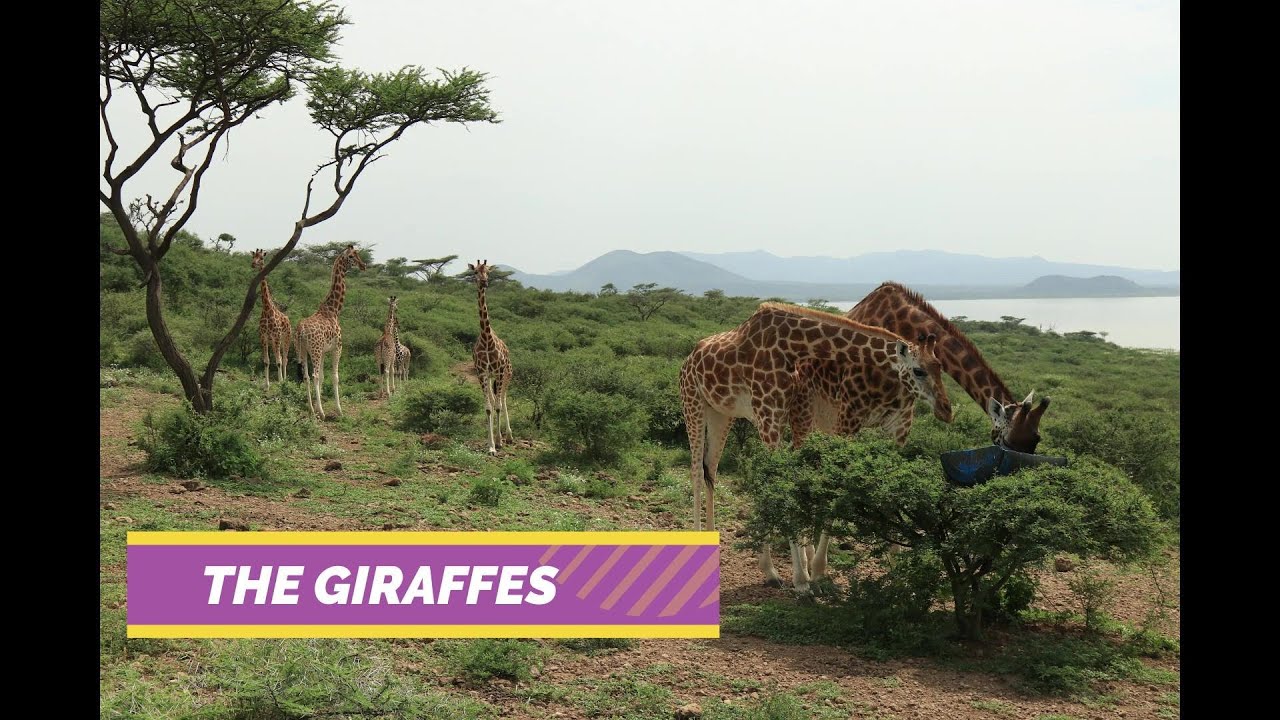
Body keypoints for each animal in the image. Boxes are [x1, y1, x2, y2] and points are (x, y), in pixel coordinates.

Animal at [249, 249, 293, 390]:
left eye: (261, 257)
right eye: (253, 256)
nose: (253, 264)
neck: (267, 309)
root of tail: (287, 319)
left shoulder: (277, 336)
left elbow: (278, 361)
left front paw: (280, 382)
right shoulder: (263, 337)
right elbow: (266, 361)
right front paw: (266, 384)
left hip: (286, 338)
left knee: (284, 359)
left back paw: (284, 380)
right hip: (273, 341)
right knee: (280, 357)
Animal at [295, 244, 366, 419]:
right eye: (352, 256)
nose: (364, 266)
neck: (333, 310)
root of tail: (301, 330)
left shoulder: (323, 351)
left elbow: (322, 377)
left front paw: (317, 405)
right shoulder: (337, 348)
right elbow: (334, 377)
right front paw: (339, 410)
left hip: (303, 350)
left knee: (307, 376)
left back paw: (311, 409)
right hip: (314, 350)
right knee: (313, 376)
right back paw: (321, 413)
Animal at [680, 302, 953, 593]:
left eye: (940, 367)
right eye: (919, 371)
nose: (946, 410)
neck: (794, 345)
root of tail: (687, 360)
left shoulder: (780, 416)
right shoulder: (771, 415)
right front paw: (803, 580)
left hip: (721, 413)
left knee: (711, 469)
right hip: (692, 402)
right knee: (696, 472)